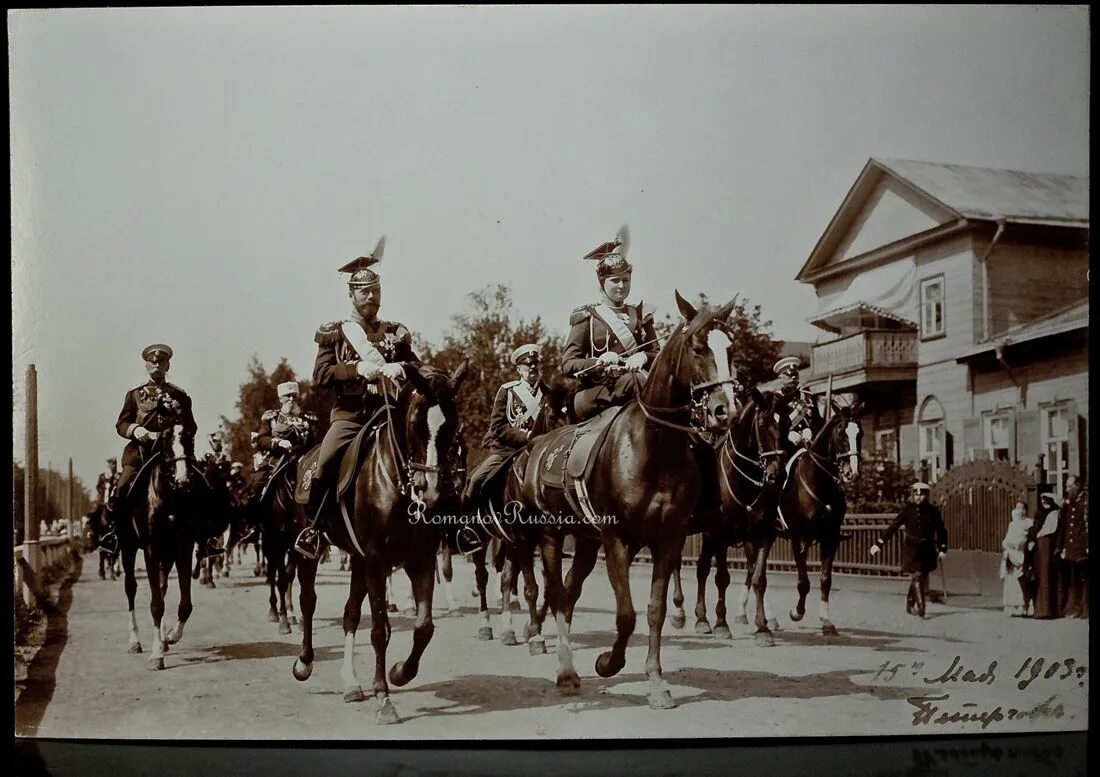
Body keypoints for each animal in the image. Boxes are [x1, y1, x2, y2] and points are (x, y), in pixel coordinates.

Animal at [118, 420, 221, 669]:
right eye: (164, 441)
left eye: (190, 438)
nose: (184, 481)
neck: (171, 498)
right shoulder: (151, 550)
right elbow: (156, 604)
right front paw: (157, 655)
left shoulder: (183, 547)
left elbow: (185, 604)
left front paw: (171, 636)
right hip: (128, 549)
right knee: (131, 588)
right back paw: (134, 641)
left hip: (168, 554)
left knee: (162, 587)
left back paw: (164, 639)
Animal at [290, 360, 466, 721]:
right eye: (415, 423)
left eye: (452, 424)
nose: (433, 492)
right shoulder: (376, 561)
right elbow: (380, 630)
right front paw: (384, 697)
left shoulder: (420, 560)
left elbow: (424, 627)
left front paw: (399, 673)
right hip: (313, 552)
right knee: (308, 601)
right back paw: (305, 662)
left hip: (357, 560)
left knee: (350, 613)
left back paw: (351, 683)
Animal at [510, 292, 734, 708]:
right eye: (698, 347)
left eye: (732, 347)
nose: (724, 410)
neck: (655, 447)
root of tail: (536, 448)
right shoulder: (617, 541)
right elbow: (626, 614)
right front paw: (607, 663)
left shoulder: (668, 540)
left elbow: (654, 610)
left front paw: (657, 682)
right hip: (550, 536)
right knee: (556, 593)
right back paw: (566, 670)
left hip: (585, 541)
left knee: (569, 593)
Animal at [778, 400, 862, 633]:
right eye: (842, 433)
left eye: (859, 433)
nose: (852, 473)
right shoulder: (798, 538)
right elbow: (804, 582)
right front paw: (796, 612)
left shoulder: (830, 538)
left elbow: (825, 580)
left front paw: (826, 621)